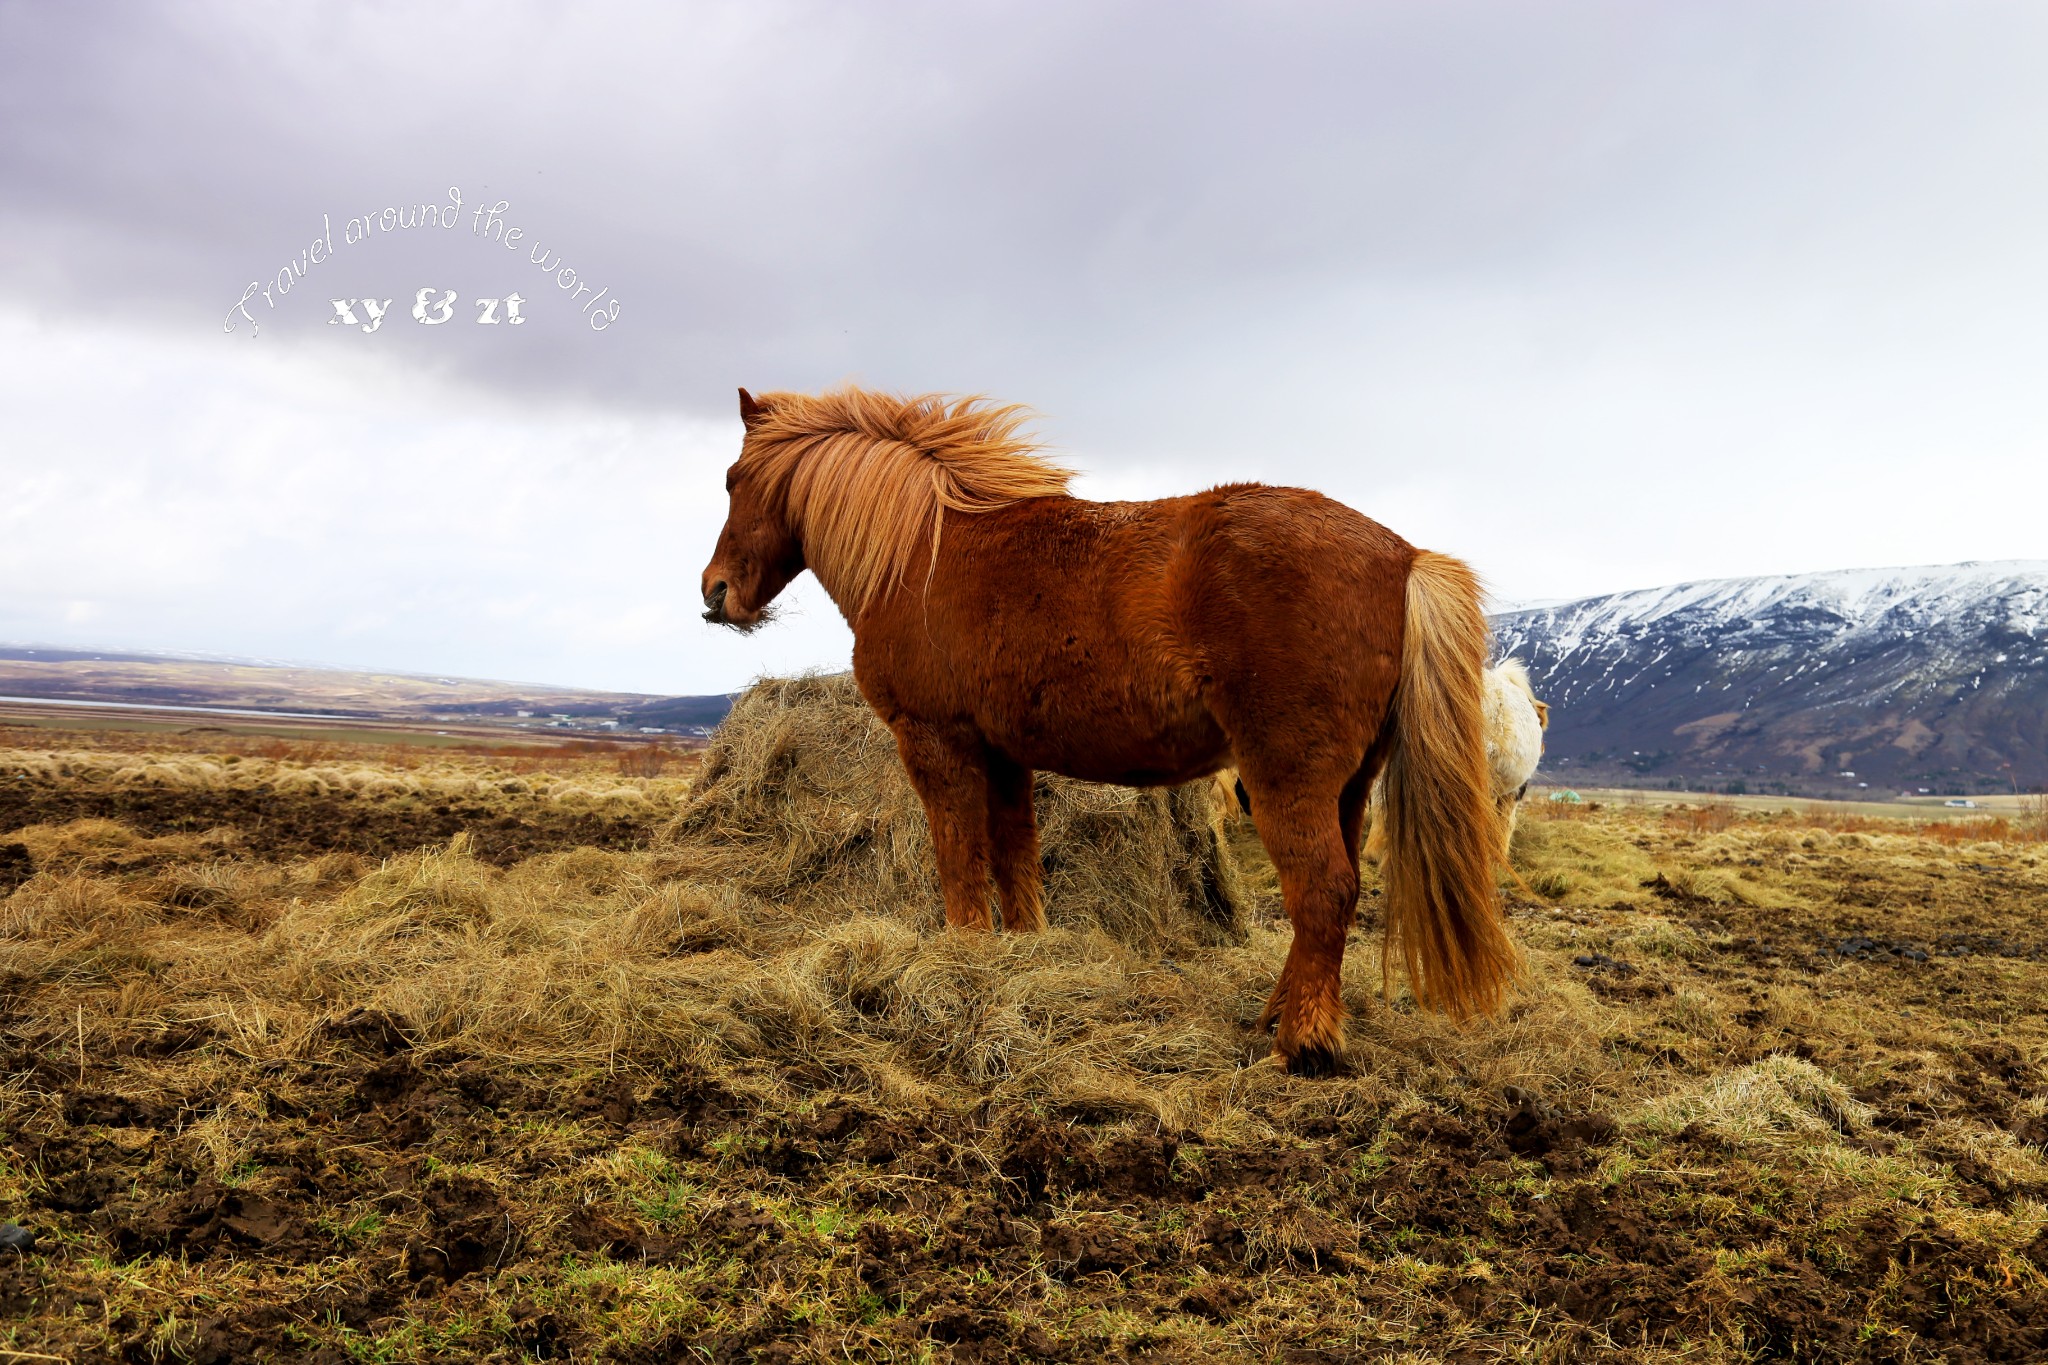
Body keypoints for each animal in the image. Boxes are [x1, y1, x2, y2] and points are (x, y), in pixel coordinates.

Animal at [704, 382, 1523, 1064]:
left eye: (734, 480)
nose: (713, 594)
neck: (925, 551)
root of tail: (1404, 557)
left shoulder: (938, 744)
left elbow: (960, 862)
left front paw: (965, 960)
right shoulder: (1005, 755)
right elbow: (1016, 862)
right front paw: (1024, 958)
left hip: (1285, 779)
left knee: (1323, 892)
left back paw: (1301, 1045)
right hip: (1348, 787)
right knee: (1333, 894)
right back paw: (1275, 1016)